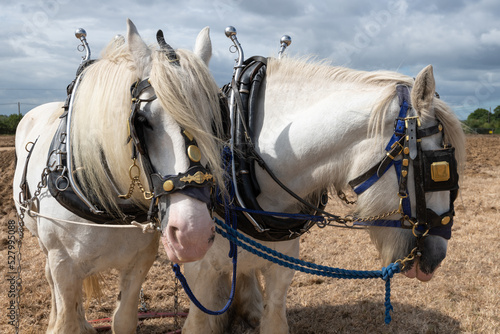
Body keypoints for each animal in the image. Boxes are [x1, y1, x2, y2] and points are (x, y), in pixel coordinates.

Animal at [12, 19, 224, 332]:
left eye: (213, 121)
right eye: (142, 121)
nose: (191, 234)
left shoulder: (138, 263)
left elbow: (123, 319)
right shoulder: (63, 264)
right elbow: (65, 318)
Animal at [183, 56, 464, 332]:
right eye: (439, 168)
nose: (437, 257)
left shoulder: (281, 270)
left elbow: (273, 318)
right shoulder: (199, 272)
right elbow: (198, 323)